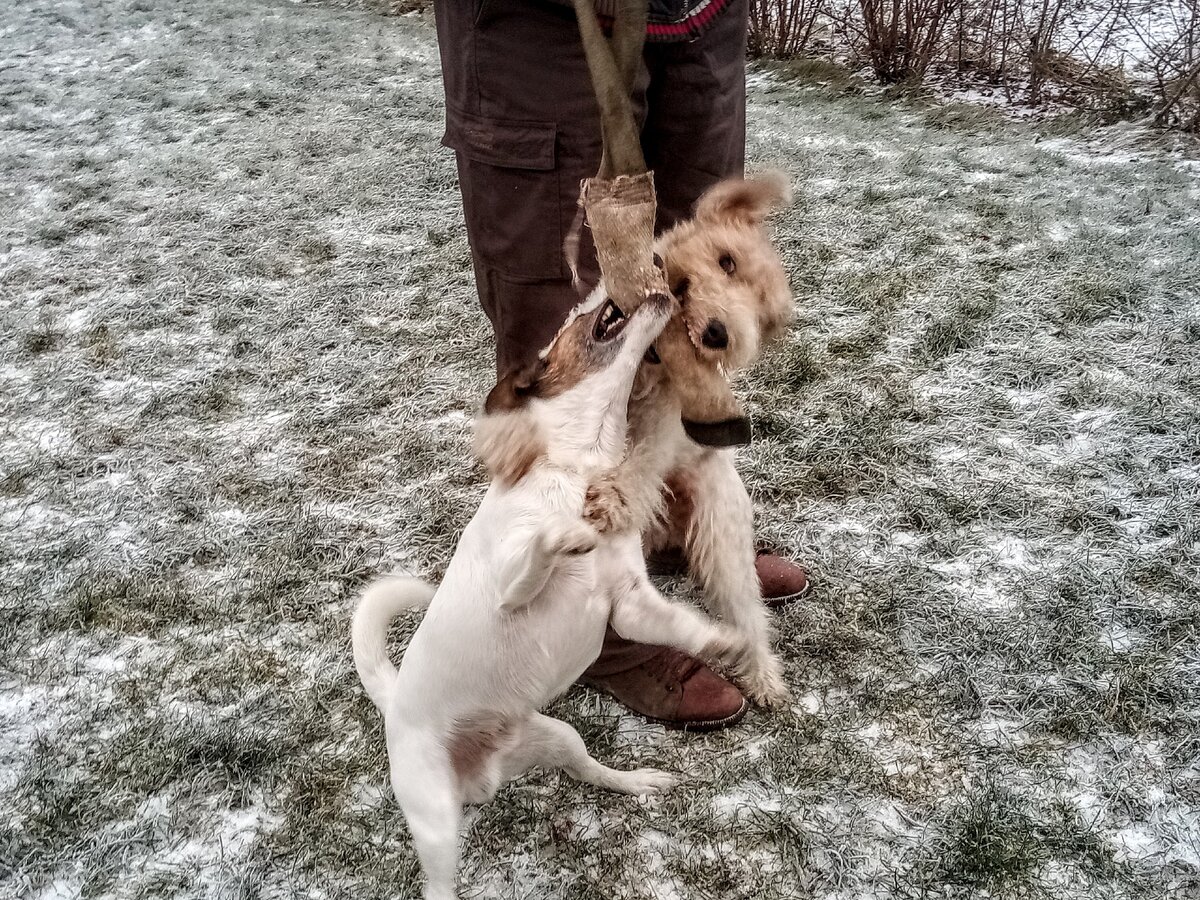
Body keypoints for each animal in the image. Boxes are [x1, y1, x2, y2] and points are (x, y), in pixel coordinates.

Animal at [350, 290, 758, 900]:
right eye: (574, 319)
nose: (597, 291)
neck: (579, 465)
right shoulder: (509, 588)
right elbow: (542, 546)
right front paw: (567, 534)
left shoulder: (630, 603)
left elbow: (682, 625)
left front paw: (726, 642)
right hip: (435, 818)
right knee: (438, 880)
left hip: (556, 735)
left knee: (590, 771)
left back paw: (638, 780)